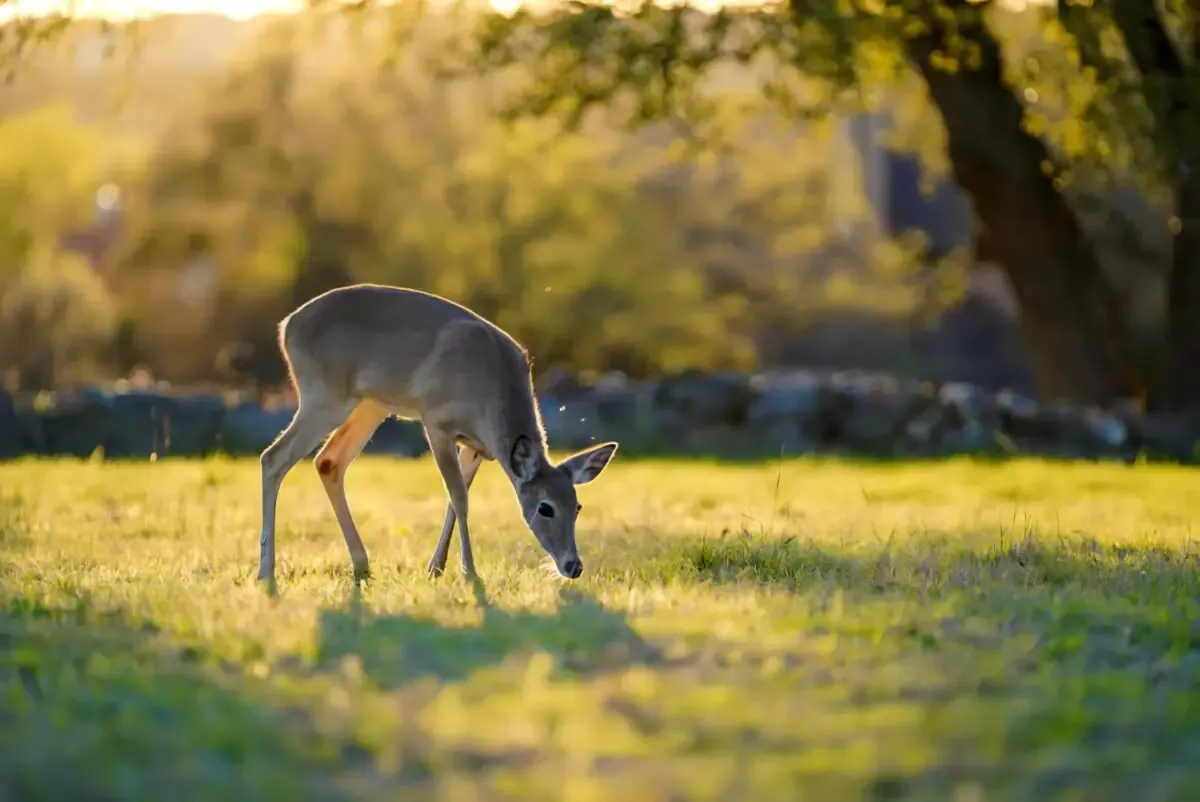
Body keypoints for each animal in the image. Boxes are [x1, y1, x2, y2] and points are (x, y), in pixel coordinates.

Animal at [259, 282, 624, 583]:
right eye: (545, 508)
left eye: (577, 506)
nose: (573, 566)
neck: (490, 389)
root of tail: (286, 325)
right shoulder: (436, 421)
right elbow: (459, 497)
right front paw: (470, 573)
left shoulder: (477, 446)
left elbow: (454, 498)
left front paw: (436, 568)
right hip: (325, 394)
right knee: (273, 457)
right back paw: (266, 571)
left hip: (371, 404)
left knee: (328, 461)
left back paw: (361, 565)